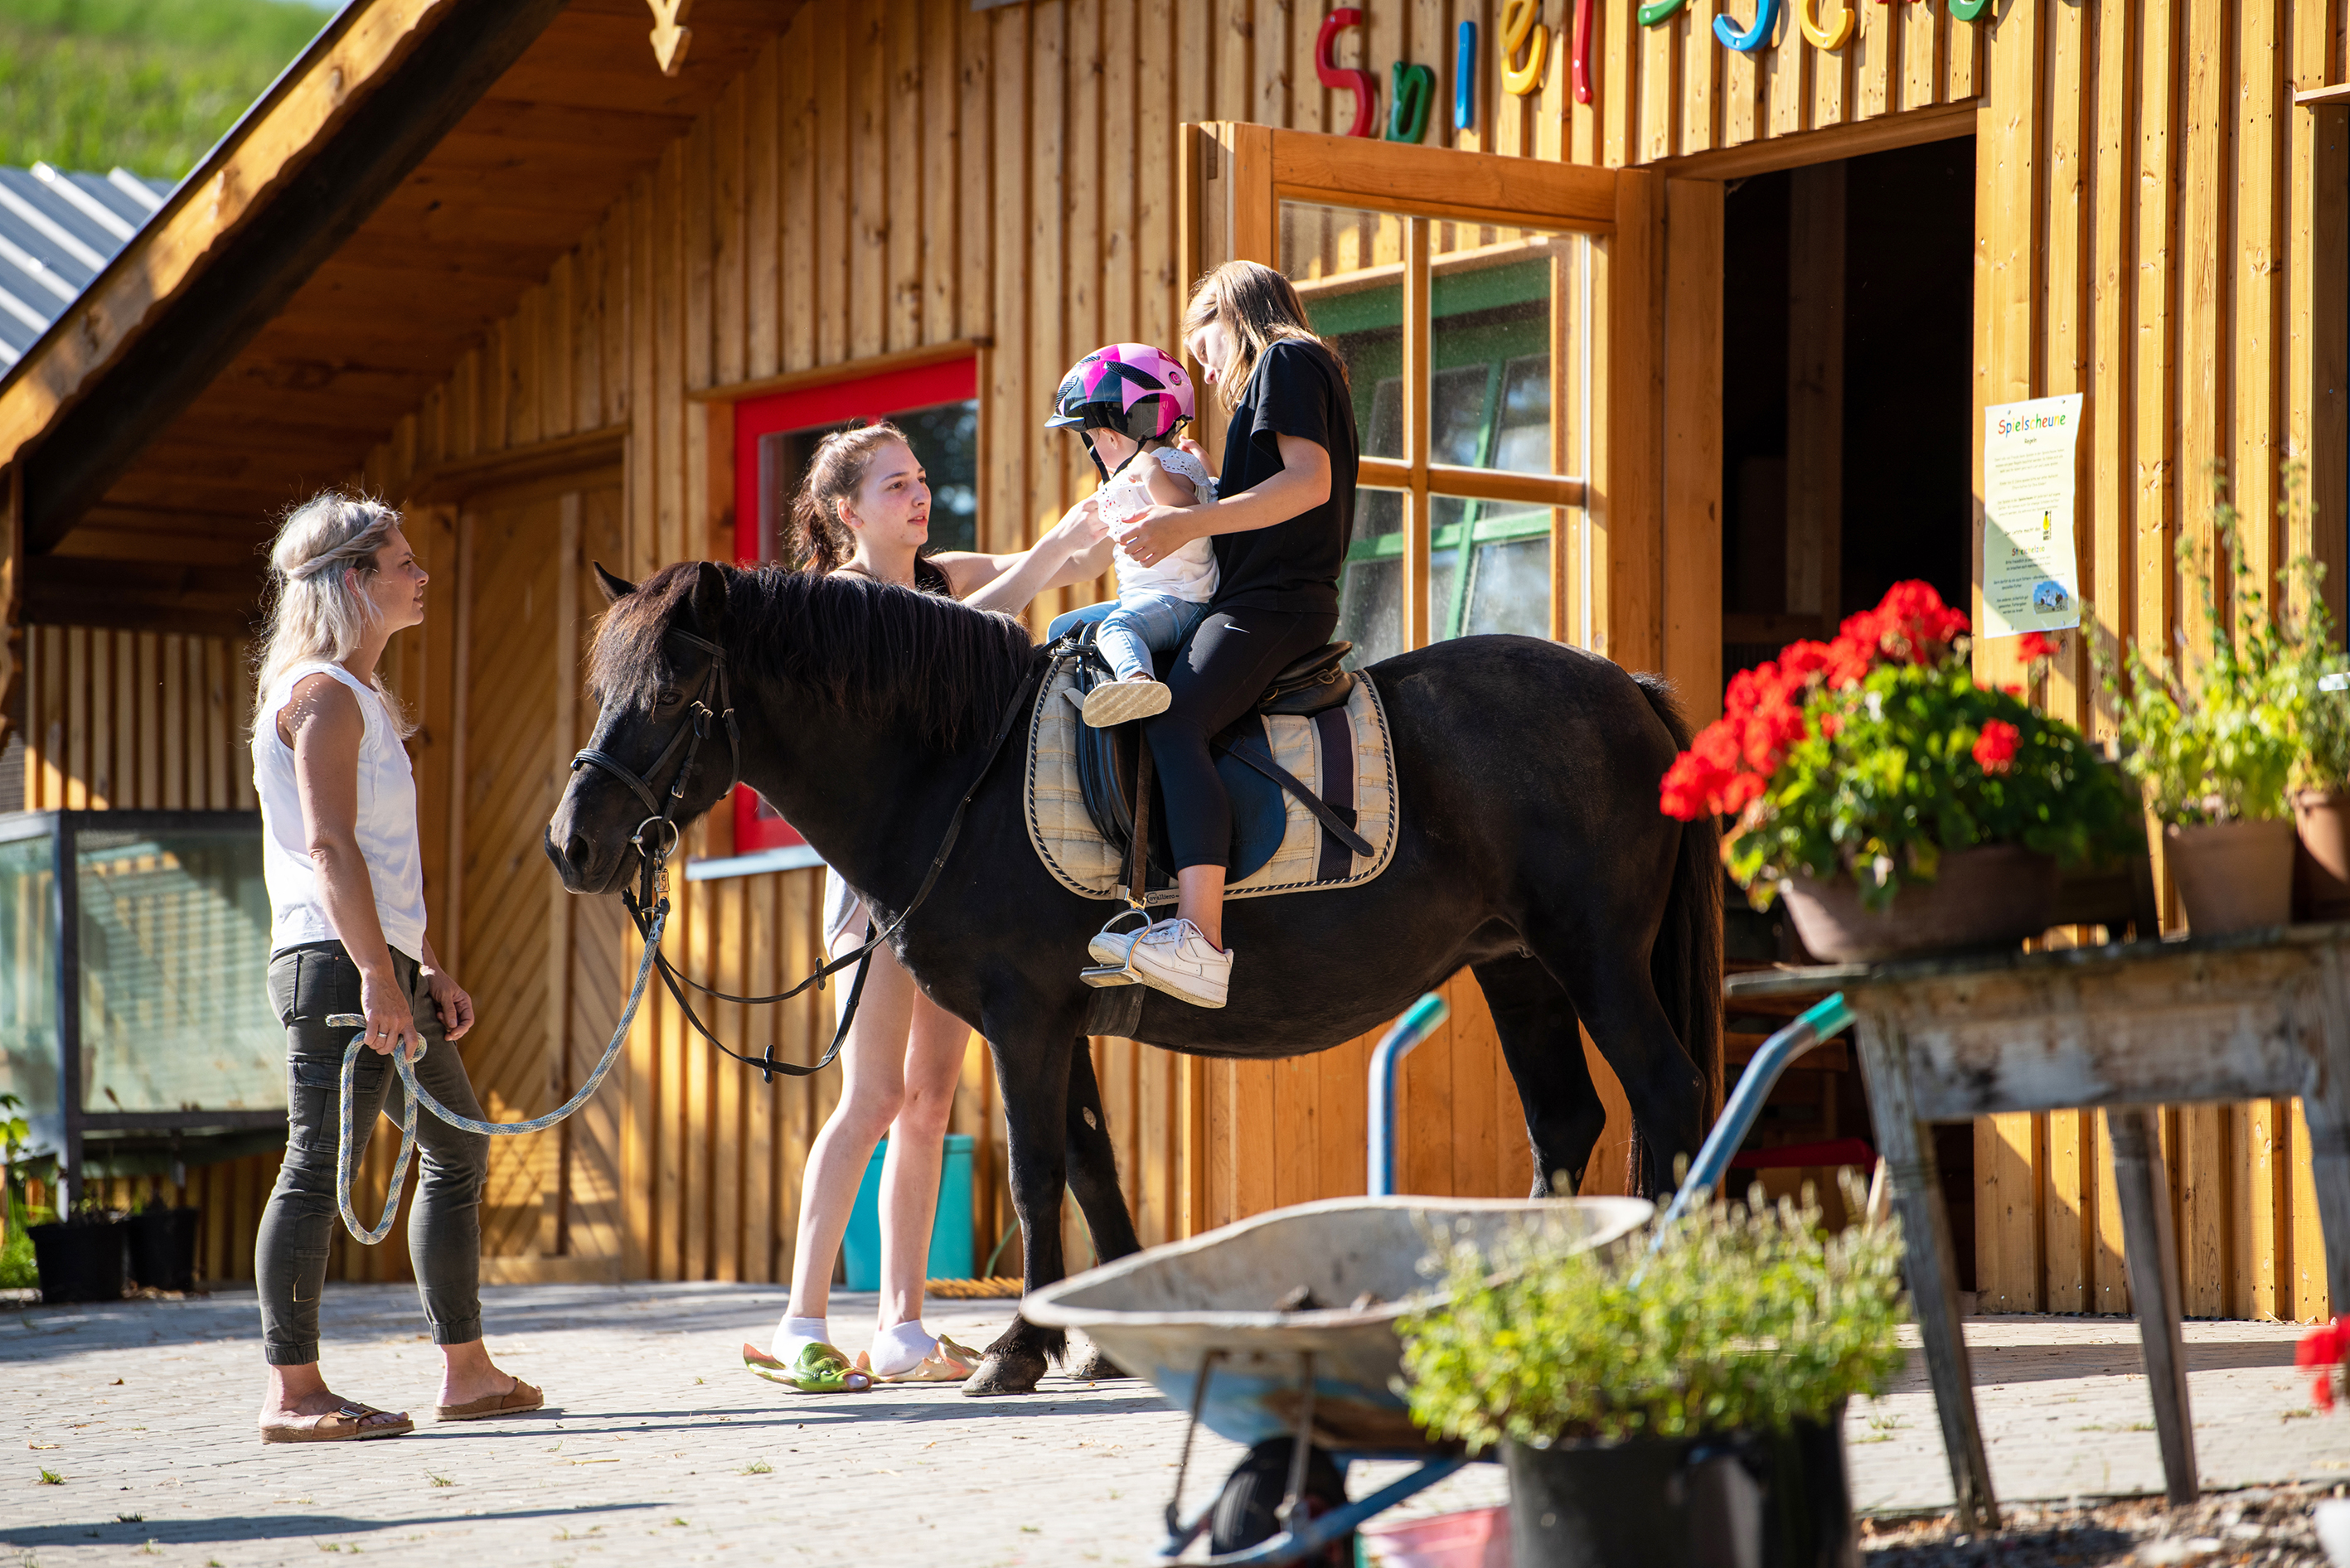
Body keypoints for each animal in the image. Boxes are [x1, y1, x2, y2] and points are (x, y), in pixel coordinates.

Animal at [550, 564, 1729, 1401]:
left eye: (671, 689)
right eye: (600, 687)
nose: (572, 845)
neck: (959, 771)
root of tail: (1626, 688)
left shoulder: (1024, 1018)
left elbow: (1038, 1173)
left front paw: (1019, 1348)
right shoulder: (1058, 1022)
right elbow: (1093, 1165)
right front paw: (1111, 1334)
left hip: (1594, 957)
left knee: (1668, 1097)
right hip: (1518, 968)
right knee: (1565, 1125)